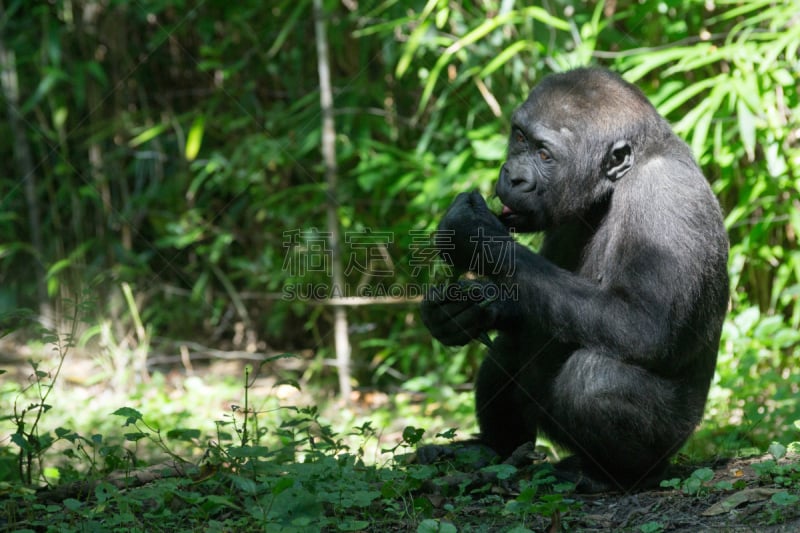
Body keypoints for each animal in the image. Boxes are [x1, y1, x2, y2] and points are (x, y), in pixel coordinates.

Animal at [422, 68, 728, 492]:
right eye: (519, 137)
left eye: (544, 155)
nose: (513, 177)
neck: (618, 180)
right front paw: (460, 310)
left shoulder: (666, 195)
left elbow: (645, 324)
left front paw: (475, 235)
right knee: (512, 346)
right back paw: (493, 449)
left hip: (671, 441)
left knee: (595, 380)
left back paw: (609, 475)